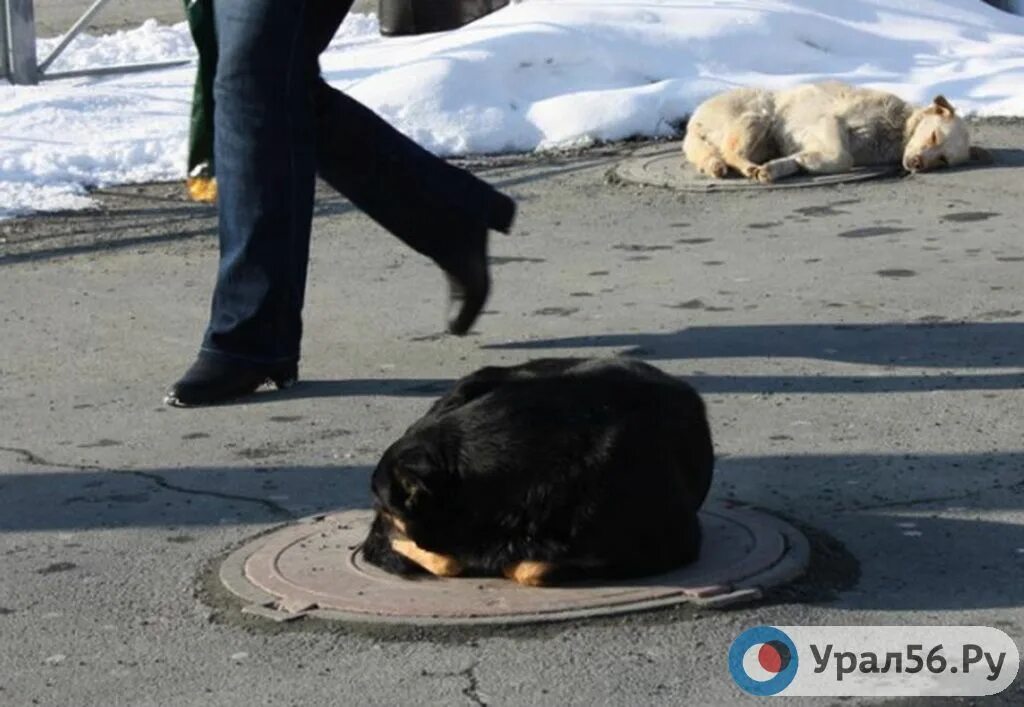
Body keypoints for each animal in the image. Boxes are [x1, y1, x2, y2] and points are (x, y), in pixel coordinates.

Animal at [684, 79, 987, 181]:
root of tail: (692, 121)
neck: (897, 131)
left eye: (943, 160)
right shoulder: (830, 120)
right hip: (756, 116)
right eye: (933, 136)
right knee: (729, 152)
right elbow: (844, 157)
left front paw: (781, 166)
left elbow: (807, 159)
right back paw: (745, 166)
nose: (916, 164)